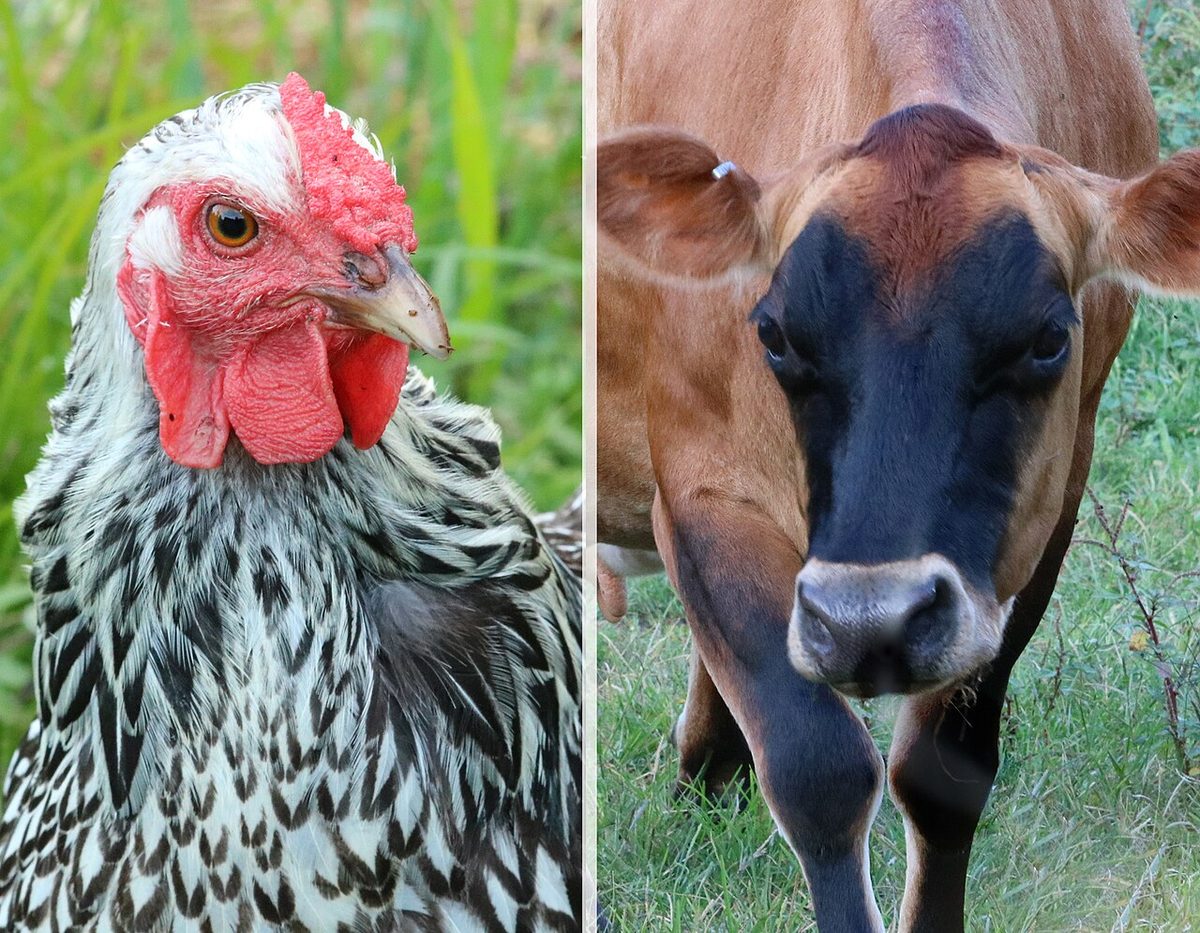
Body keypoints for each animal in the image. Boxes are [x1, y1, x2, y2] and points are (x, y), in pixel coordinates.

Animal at [596, 0, 1200, 929]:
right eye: (772, 331)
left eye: (1048, 339)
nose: (867, 621)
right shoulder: (705, 491)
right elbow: (820, 769)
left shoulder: (1049, 501)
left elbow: (946, 774)